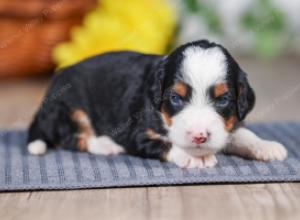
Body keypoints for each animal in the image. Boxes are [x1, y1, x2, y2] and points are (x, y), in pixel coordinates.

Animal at [27, 40, 288, 168]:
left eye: (223, 99)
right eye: (175, 98)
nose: (199, 136)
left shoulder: (226, 128)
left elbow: (242, 134)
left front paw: (267, 146)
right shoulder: (137, 134)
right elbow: (165, 143)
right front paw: (193, 156)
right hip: (68, 108)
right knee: (72, 138)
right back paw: (106, 144)